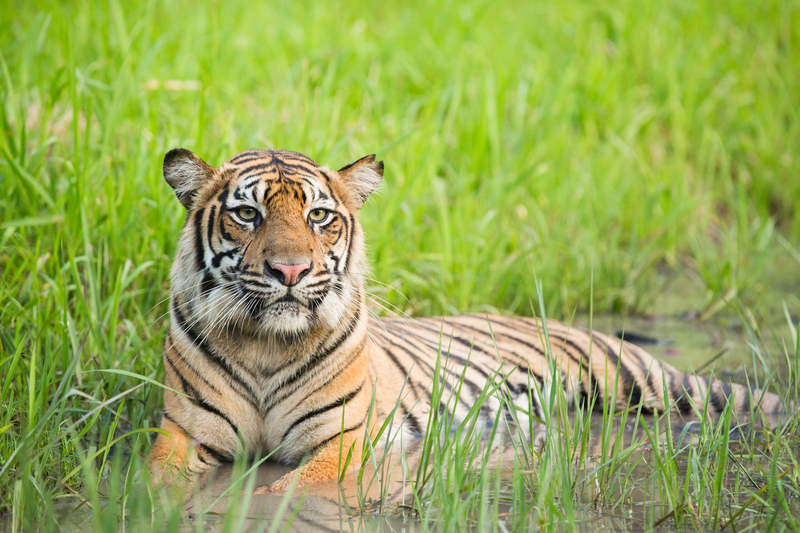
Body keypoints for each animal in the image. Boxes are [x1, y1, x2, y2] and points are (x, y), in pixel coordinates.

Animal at [147, 148, 784, 492]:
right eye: (248, 215)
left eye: (320, 217)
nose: (290, 270)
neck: (266, 343)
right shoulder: (184, 433)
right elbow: (151, 485)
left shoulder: (343, 440)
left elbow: (289, 492)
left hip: (647, 381)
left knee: (743, 399)